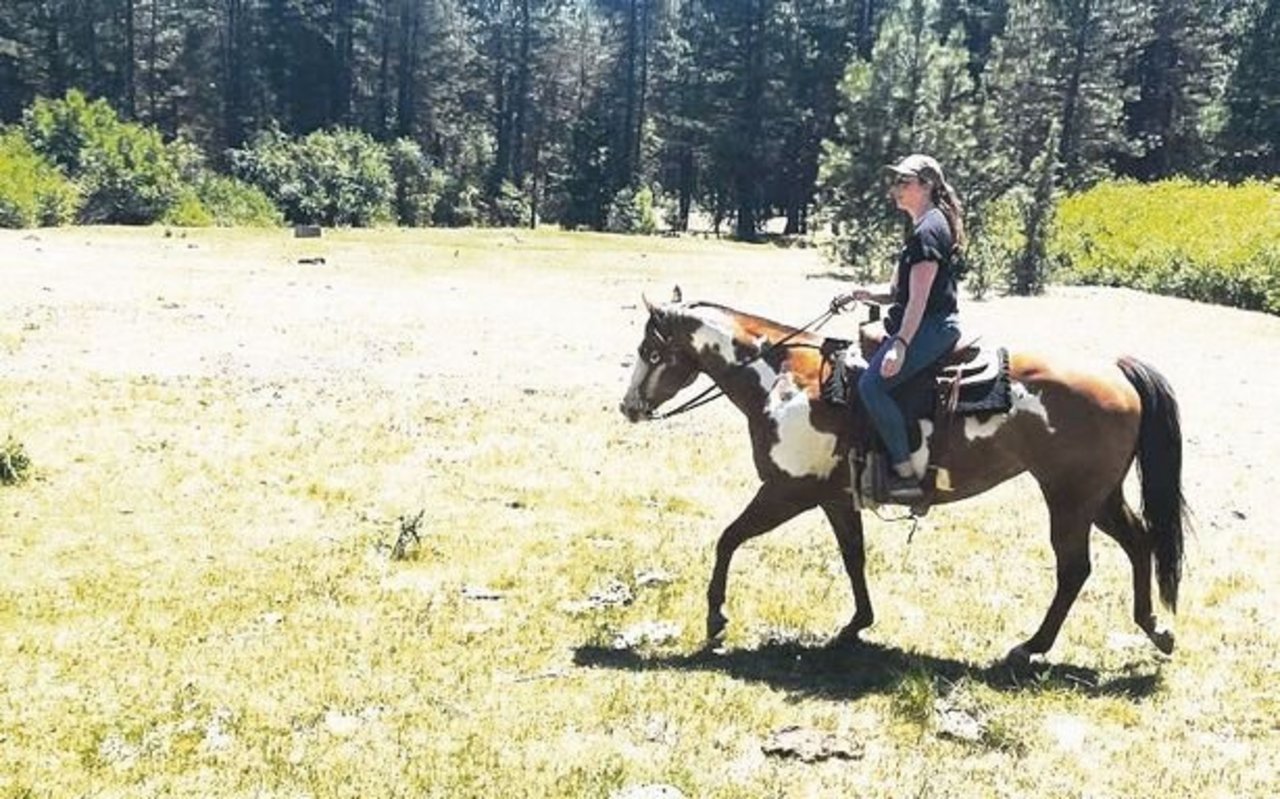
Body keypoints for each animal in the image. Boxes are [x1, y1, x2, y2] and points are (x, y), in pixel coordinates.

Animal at [614, 286, 1182, 660]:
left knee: (1075, 569)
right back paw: (1154, 628)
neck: (783, 380)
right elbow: (853, 557)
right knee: (1140, 542)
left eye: (650, 351)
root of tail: (1114, 371)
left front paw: (715, 618)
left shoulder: (786, 491)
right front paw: (856, 624)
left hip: (1069, 498)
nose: (628, 407)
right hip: (1099, 496)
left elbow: (728, 539)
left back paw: (1031, 646)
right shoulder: (833, 496)